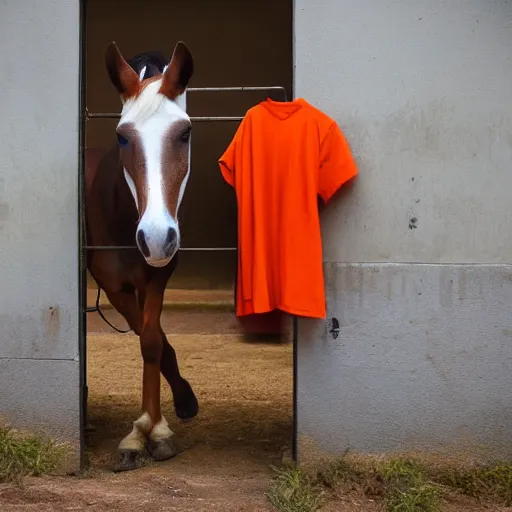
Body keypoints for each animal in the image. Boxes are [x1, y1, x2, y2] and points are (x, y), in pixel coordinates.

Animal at [84, 40, 198, 472]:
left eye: (184, 132)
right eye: (122, 137)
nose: (155, 236)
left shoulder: (157, 277)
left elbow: (152, 341)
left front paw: (157, 430)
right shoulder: (114, 286)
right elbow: (149, 338)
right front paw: (140, 434)